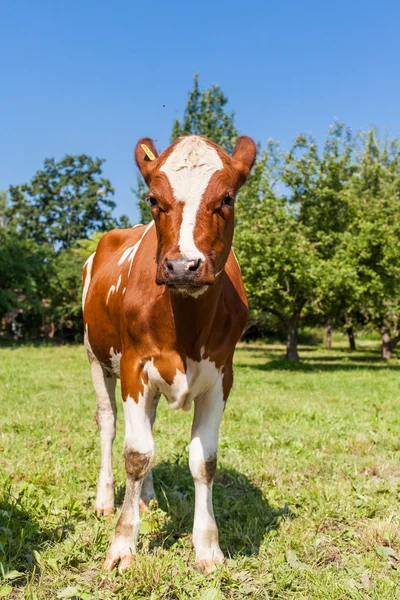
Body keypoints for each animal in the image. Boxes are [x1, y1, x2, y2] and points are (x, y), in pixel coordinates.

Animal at [82, 134, 256, 576]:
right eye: (153, 199)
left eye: (227, 198)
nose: (182, 265)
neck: (187, 326)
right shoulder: (134, 368)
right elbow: (136, 453)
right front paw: (123, 544)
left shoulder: (222, 377)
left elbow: (203, 461)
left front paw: (208, 546)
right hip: (95, 357)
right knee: (109, 425)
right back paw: (107, 499)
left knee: (149, 427)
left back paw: (145, 497)